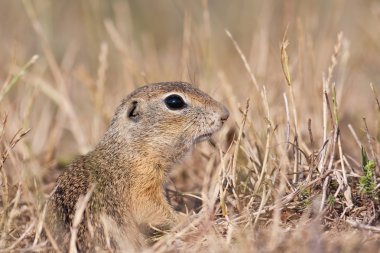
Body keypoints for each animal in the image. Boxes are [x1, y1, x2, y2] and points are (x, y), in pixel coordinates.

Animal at [47, 81, 230, 251]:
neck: (132, 150)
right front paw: (189, 218)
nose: (225, 114)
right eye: (174, 101)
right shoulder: (141, 187)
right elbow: (154, 210)